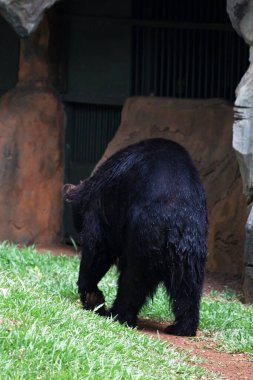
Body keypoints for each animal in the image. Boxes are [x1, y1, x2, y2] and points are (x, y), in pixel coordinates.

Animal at [62, 137, 209, 336]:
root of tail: (175, 225)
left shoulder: (103, 203)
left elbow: (98, 246)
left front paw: (91, 295)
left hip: (143, 241)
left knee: (132, 280)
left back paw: (118, 314)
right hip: (192, 251)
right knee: (188, 288)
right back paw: (182, 327)